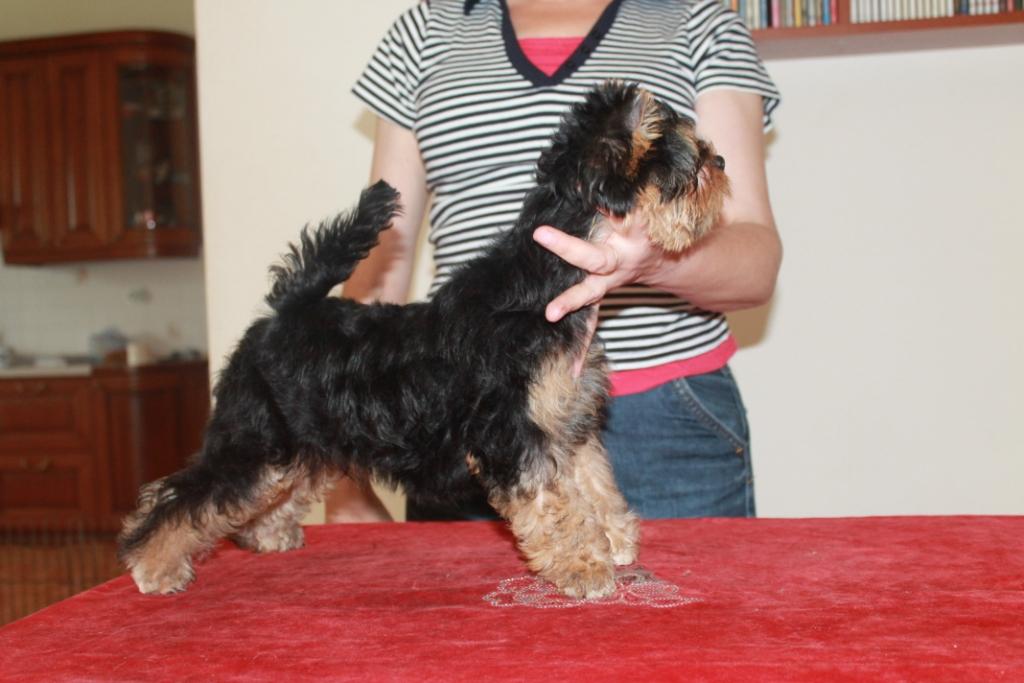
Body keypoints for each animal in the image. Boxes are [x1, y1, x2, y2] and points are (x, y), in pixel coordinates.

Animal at [118, 81, 730, 599]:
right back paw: (154, 564)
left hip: (301, 441)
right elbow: (553, 501)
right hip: (255, 435)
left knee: (271, 487)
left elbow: (591, 482)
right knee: (183, 495)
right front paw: (584, 565)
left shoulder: (565, 422)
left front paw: (613, 538)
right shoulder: (513, 433)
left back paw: (266, 534)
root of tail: (286, 311)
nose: (719, 162)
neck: (544, 279)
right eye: (668, 140)